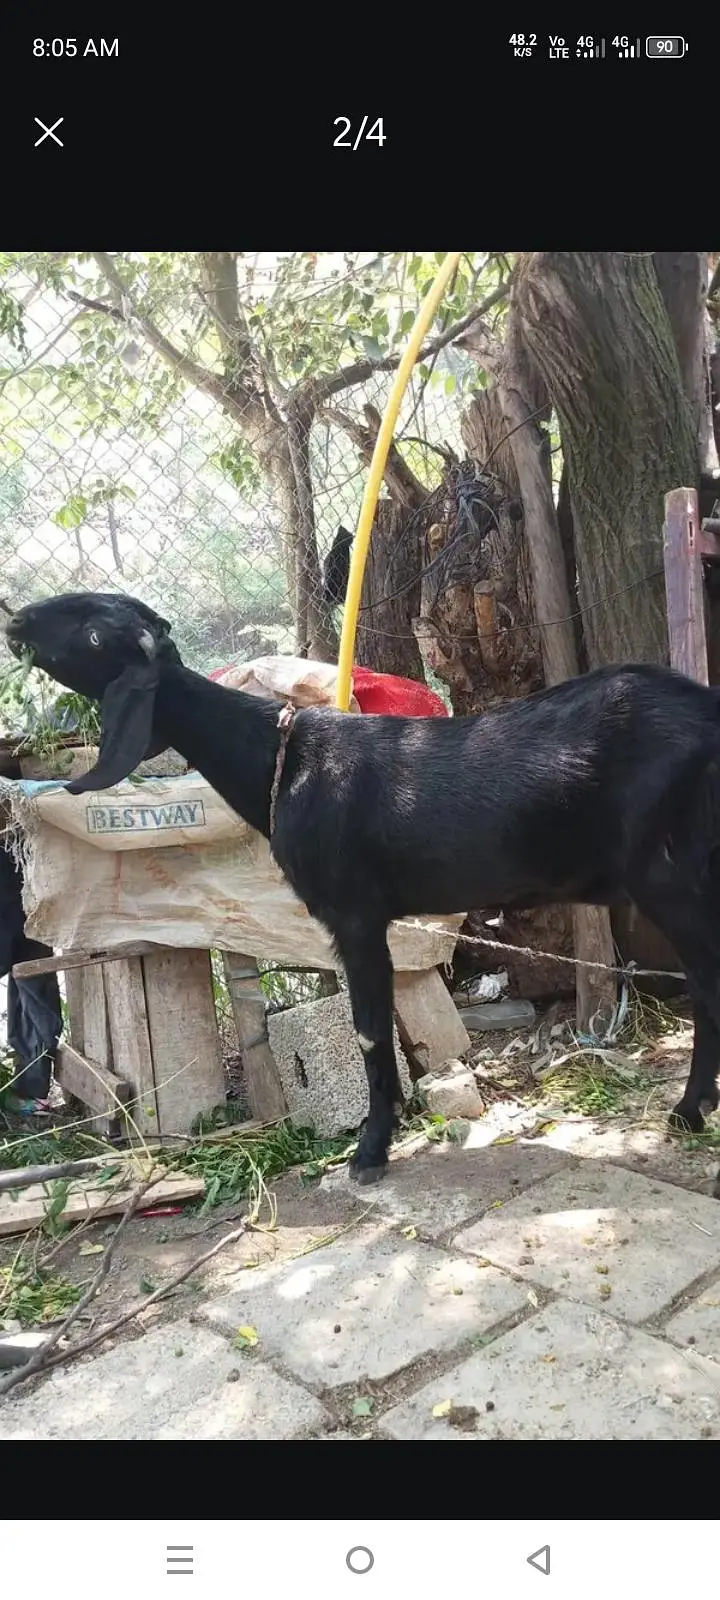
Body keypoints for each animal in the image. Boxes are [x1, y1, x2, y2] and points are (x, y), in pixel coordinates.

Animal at [7, 590, 720, 1191]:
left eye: (94, 633)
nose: (16, 623)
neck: (282, 761)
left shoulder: (354, 913)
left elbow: (371, 1032)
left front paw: (371, 1150)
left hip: (676, 881)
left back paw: (689, 1112)